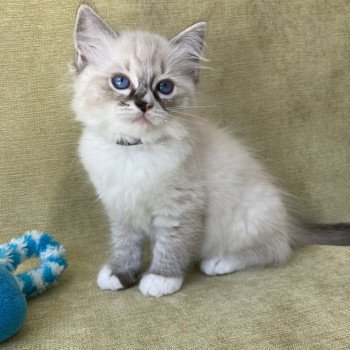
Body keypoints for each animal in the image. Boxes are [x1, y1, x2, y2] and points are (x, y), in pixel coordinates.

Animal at [69, 5, 348, 296]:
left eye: (164, 87)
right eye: (121, 82)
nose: (144, 104)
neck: (135, 150)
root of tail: (289, 222)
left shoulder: (180, 208)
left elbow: (171, 246)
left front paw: (161, 278)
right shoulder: (121, 209)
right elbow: (125, 245)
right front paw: (120, 274)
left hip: (246, 220)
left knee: (275, 249)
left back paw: (219, 262)